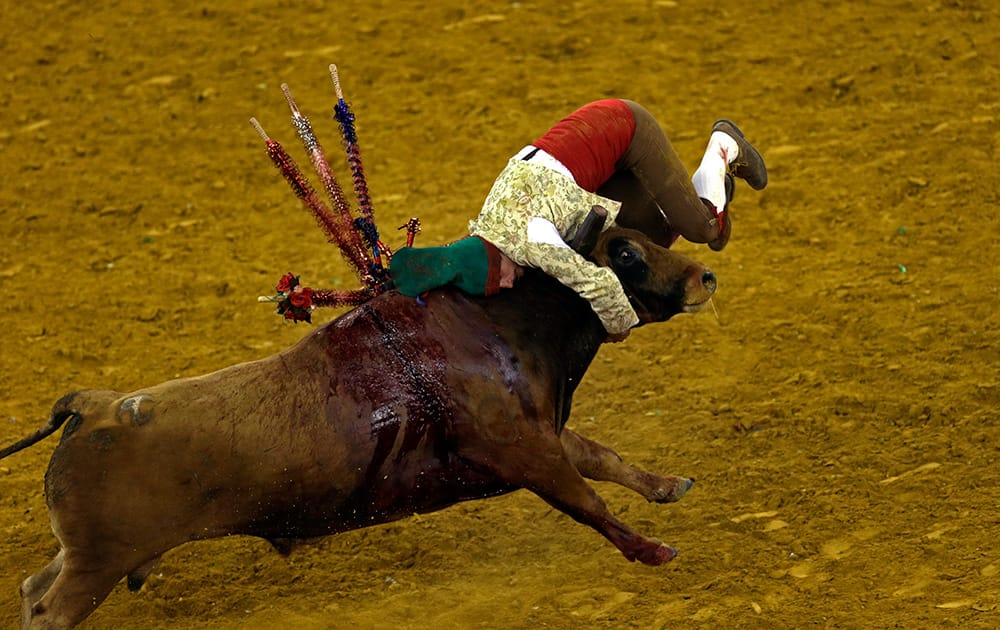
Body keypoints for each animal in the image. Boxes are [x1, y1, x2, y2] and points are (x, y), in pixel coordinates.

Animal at [1, 225, 720, 628]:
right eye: (624, 250)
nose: (705, 274)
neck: (499, 321)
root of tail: (95, 405)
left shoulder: (542, 430)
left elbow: (604, 459)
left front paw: (667, 487)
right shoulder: (525, 451)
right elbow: (589, 499)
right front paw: (651, 550)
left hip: (85, 554)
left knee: (34, 588)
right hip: (97, 564)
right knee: (49, 609)